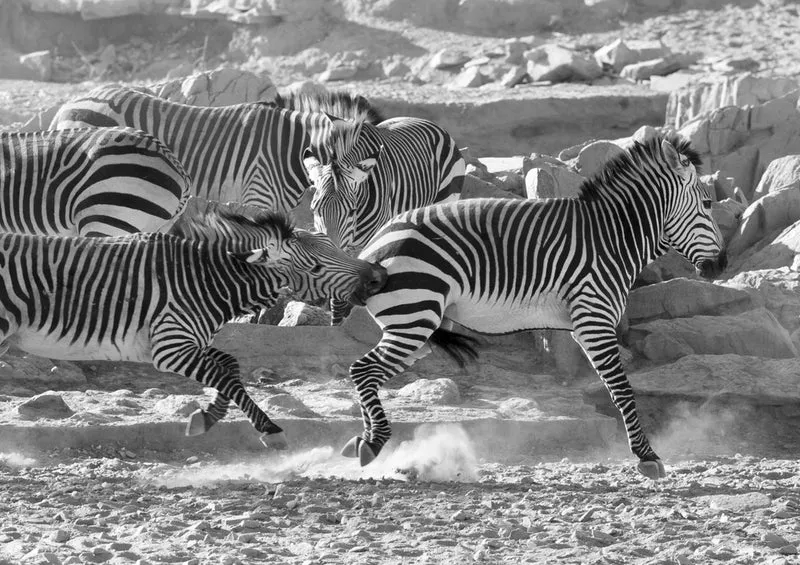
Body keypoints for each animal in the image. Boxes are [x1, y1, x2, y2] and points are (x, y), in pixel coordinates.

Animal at [0, 208, 387, 448]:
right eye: (316, 267)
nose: (378, 277)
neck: (203, 280)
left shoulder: (181, 342)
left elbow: (229, 366)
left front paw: (206, 417)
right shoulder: (170, 349)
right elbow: (226, 376)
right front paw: (270, 430)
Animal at [341, 133, 726, 480]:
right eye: (708, 205)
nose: (721, 266)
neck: (613, 238)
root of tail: (373, 247)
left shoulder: (586, 323)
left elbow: (618, 388)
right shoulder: (594, 318)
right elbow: (622, 390)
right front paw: (647, 457)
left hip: (414, 324)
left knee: (367, 373)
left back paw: (366, 441)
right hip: (413, 318)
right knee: (363, 370)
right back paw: (373, 443)